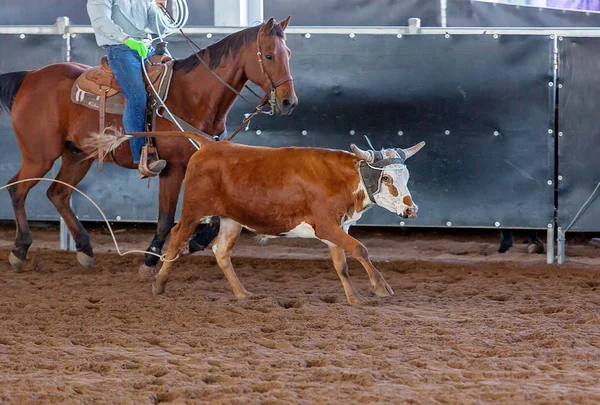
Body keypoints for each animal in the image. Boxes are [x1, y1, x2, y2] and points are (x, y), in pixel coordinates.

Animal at [0, 17, 298, 274]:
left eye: (289, 53)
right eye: (269, 56)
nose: (289, 102)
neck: (193, 96)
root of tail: (30, 76)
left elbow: (216, 215)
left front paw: (196, 242)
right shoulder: (172, 169)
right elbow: (166, 217)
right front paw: (150, 259)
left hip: (77, 156)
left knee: (57, 194)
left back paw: (85, 249)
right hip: (39, 156)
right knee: (18, 190)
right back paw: (20, 250)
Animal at [113, 131, 422, 302]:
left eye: (406, 176)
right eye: (386, 177)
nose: (411, 210)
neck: (343, 177)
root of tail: (212, 146)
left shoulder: (338, 227)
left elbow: (341, 264)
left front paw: (354, 297)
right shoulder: (326, 225)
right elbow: (360, 249)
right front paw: (381, 287)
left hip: (231, 219)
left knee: (220, 250)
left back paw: (242, 293)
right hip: (194, 209)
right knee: (177, 238)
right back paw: (159, 284)